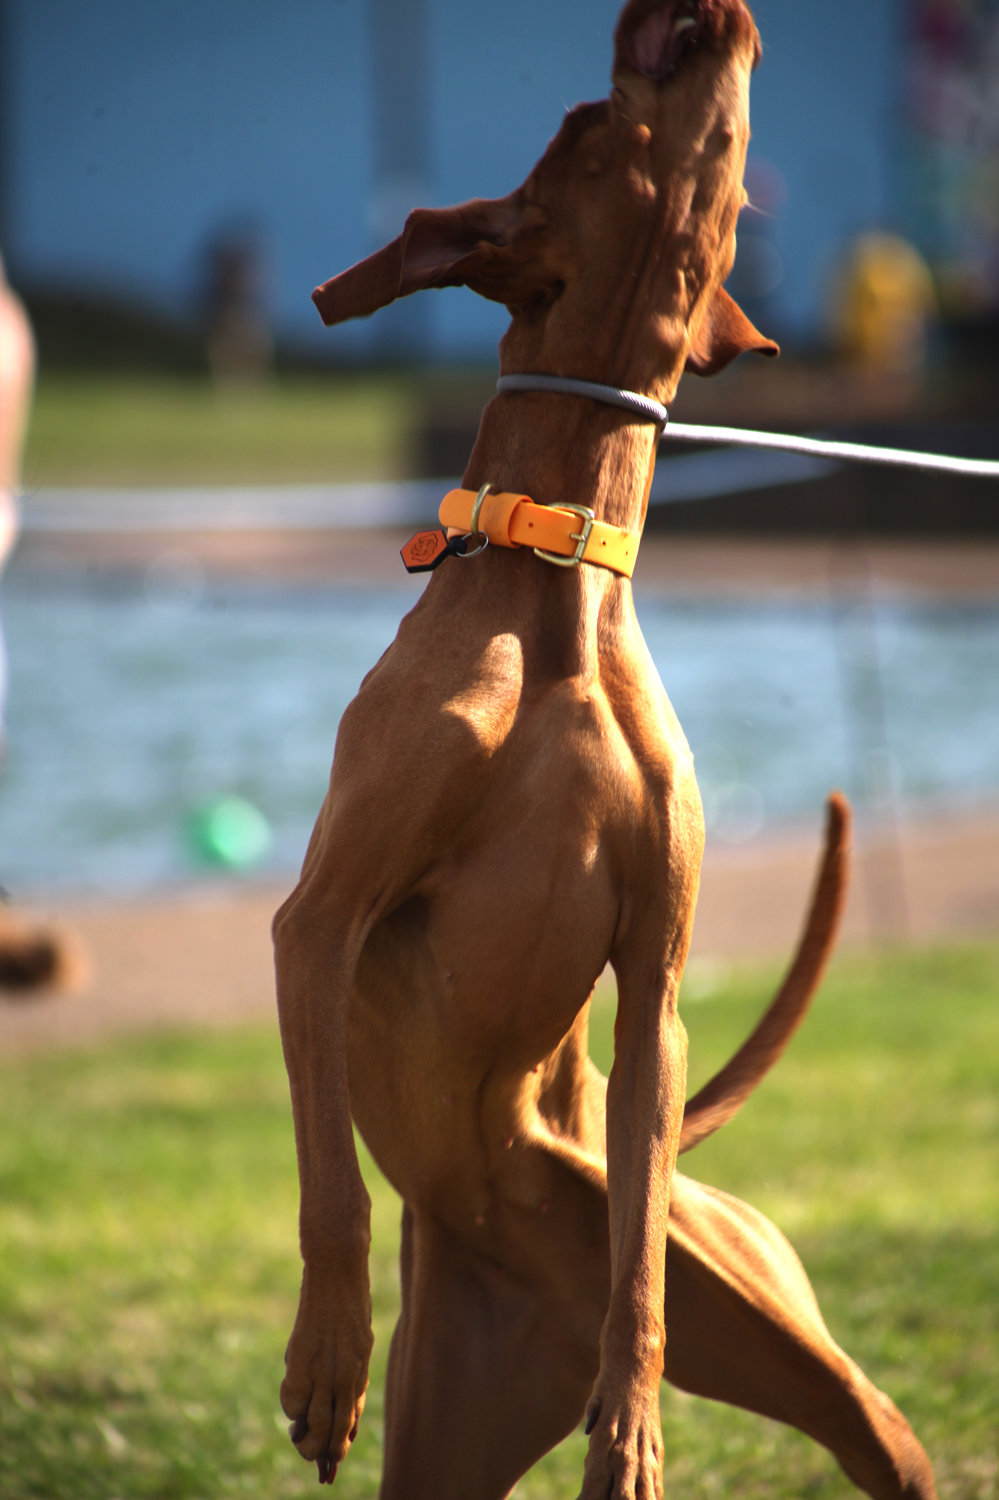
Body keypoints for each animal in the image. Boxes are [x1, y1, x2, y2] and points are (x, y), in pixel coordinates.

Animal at [274, 3, 937, 1495]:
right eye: (587, 121)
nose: (701, 10)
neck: (559, 582)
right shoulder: (318, 919)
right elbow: (334, 1189)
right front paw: (326, 1351)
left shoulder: (652, 991)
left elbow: (637, 1278)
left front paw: (629, 1422)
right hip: (443, 1430)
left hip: (790, 1342)